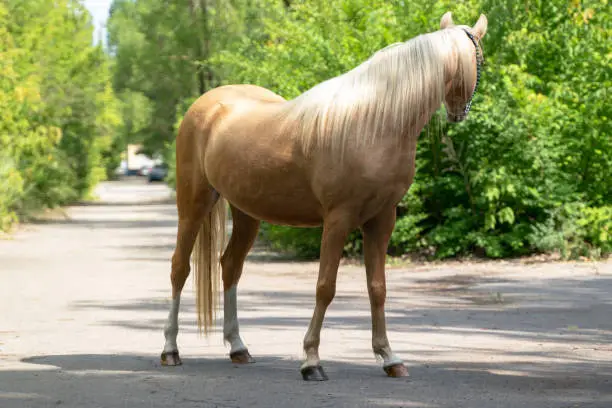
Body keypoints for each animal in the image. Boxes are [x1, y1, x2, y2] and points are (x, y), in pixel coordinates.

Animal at [161, 13, 488, 382]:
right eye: (480, 59)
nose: (460, 113)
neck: (373, 125)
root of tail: (205, 106)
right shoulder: (338, 219)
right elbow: (325, 286)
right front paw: (311, 361)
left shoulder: (382, 219)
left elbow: (377, 287)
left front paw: (389, 357)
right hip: (194, 204)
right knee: (179, 268)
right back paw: (170, 350)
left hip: (246, 212)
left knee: (230, 266)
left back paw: (238, 348)